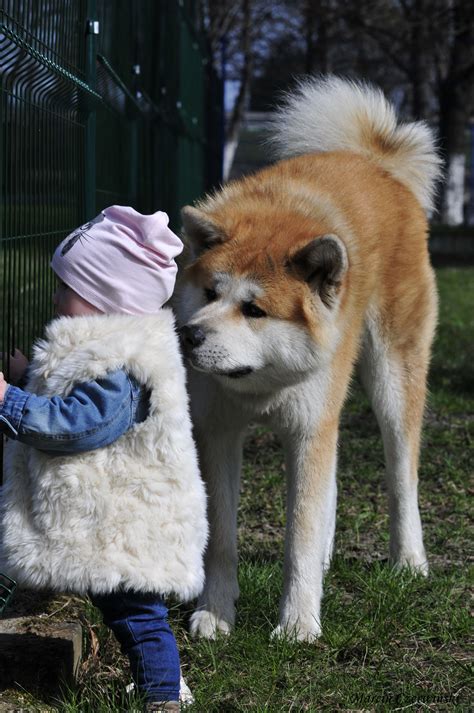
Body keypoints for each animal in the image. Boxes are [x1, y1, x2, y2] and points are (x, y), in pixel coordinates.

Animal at [176, 76, 442, 640]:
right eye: (210, 293)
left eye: (254, 309)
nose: (189, 335)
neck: (260, 384)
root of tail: (374, 163)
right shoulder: (218, 430)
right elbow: (222, 538)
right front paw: (216, 611)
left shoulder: (306, 427)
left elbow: (298, 533)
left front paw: (298, 624)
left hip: (392, 377)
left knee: (401, 475)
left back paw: (409, 561)